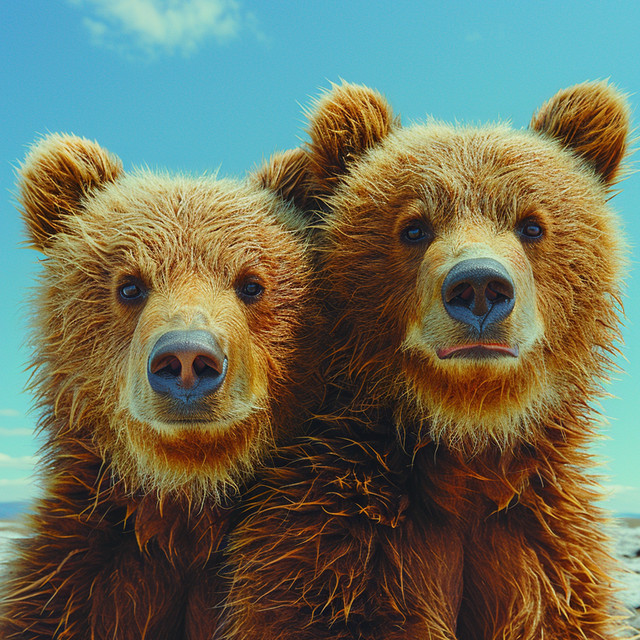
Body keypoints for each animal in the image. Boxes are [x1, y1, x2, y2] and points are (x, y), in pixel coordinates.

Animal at [220, 81, 631, 640]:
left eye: (531, 225)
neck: (468, 439)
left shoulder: (543, 545)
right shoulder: (341, 536)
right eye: (414, 228)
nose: (478, 286)